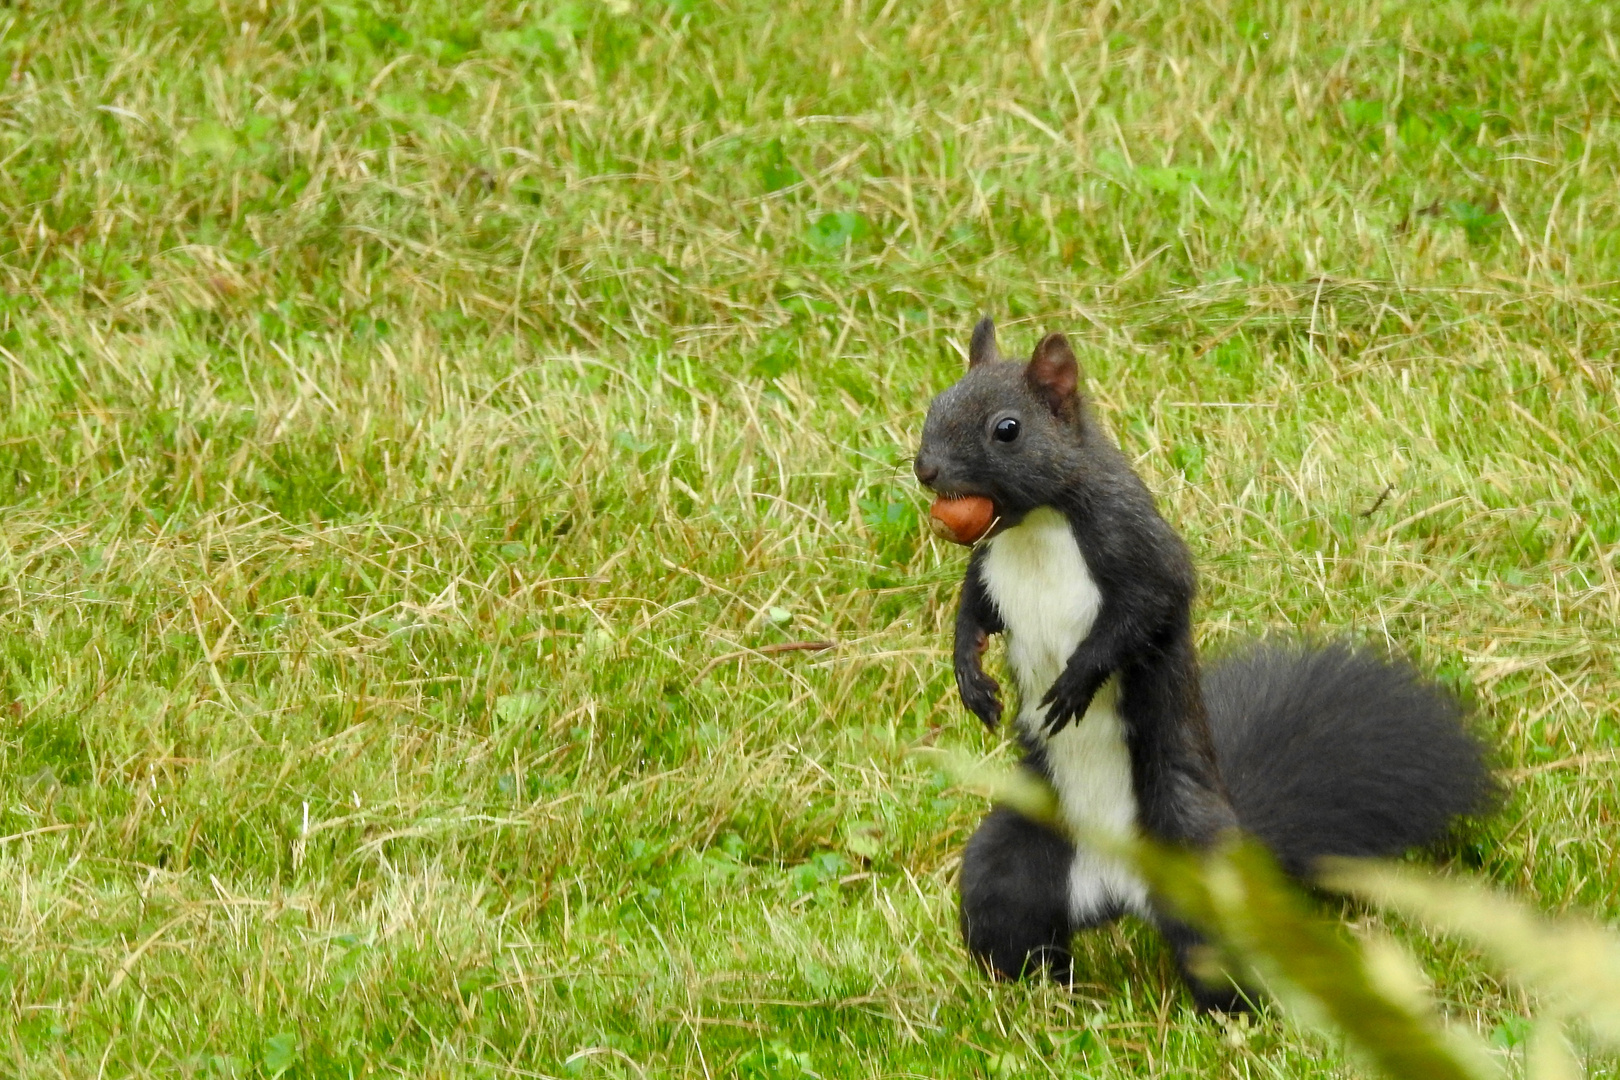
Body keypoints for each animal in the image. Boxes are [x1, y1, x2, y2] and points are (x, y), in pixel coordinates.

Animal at [913, 317, 1490, 1010]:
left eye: (1008, 428)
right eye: (935, 403)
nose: (925, 469)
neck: (1035, 528)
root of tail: (1120, 888)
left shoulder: (1137, 547)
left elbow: (1143, 612)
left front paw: (1076, 682)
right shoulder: (990, 567)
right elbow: (974, 613)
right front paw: (970, 678)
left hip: (1202, 862)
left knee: (1222, 956)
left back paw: (1237, 1013)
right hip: (1013, 863)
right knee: (1012, 919)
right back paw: (1030, 992)